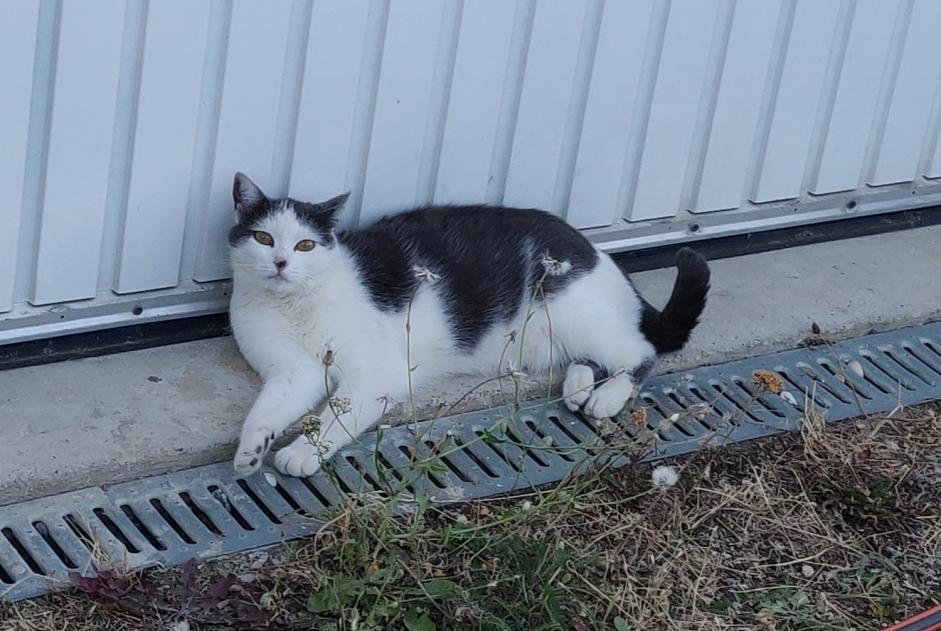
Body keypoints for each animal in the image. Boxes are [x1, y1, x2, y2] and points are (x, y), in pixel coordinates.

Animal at [231, 173, 708, 478]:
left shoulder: (375, 376)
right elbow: (267, 410)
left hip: (577, 314)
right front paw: (251, 449)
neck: (295, 305)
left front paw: (301, 453)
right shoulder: (294, 371)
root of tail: (598, 252)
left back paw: (605, 397)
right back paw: (578, 387)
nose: (280, 262)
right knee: (594, 357)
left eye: (305, 245)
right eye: (263, 238)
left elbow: (335, 417)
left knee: (640, 352)